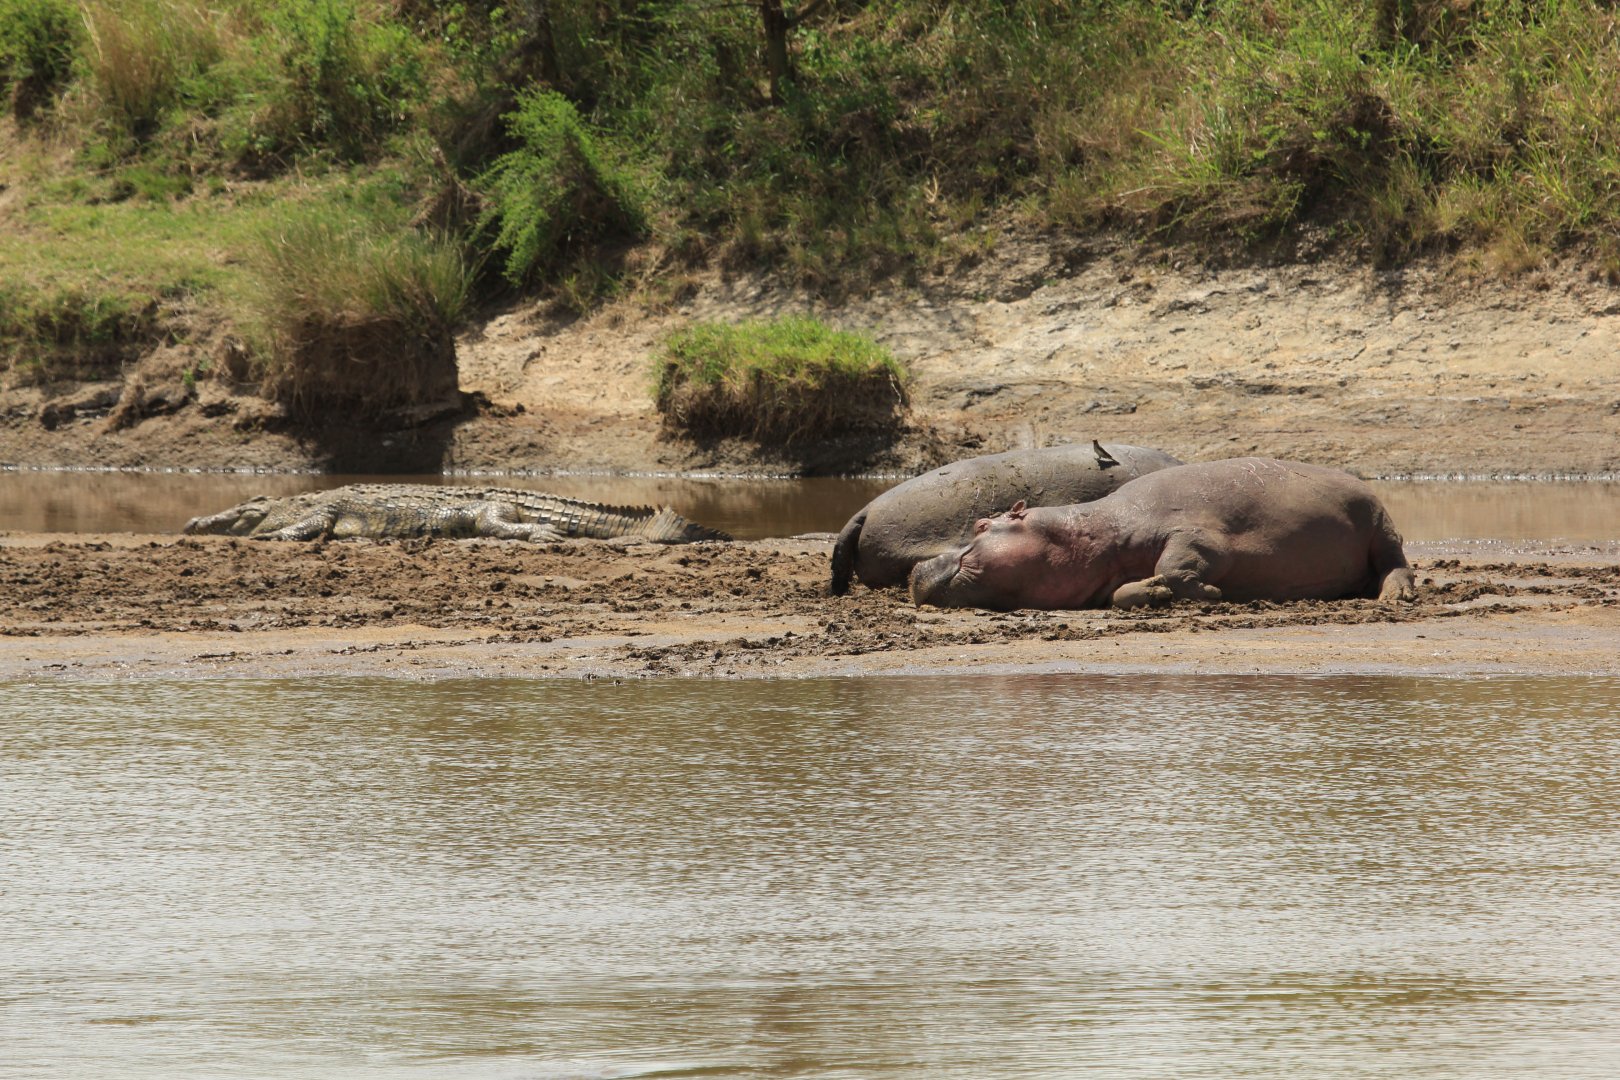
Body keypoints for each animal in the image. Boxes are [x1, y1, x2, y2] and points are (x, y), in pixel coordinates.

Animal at [909, 457, 1416, 611]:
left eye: (980, 525)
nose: (916, 567)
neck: (1085, 533)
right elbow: (1127, 592)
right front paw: (1152, 593)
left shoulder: (1198, 534)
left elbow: (1177, 562)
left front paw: (1210, 593)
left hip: (1380, 523)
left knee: (1397, 563)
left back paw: (1395, 597)